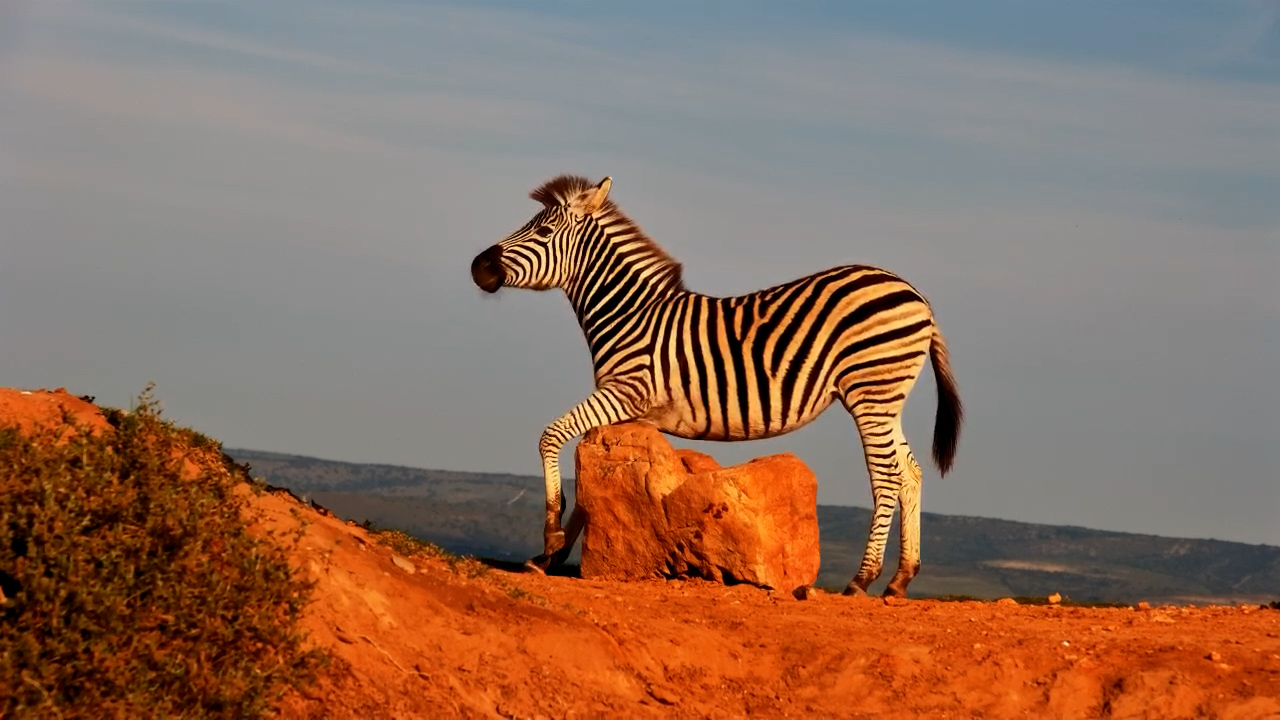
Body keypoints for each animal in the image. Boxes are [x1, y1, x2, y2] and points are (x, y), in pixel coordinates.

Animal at [470, 174, 962, 598]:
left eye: (544, 230)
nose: (478, 267)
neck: (631, 315)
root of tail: (915, 294)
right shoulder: (626, 409)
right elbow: (586, 477)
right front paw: (550, 555)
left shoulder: (625, 391)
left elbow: (551, 437)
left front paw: (551, 534)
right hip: (886, 398)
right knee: (910, 473)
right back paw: (901, 578)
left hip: (870, 392)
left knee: (886, 476)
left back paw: (862, 579)